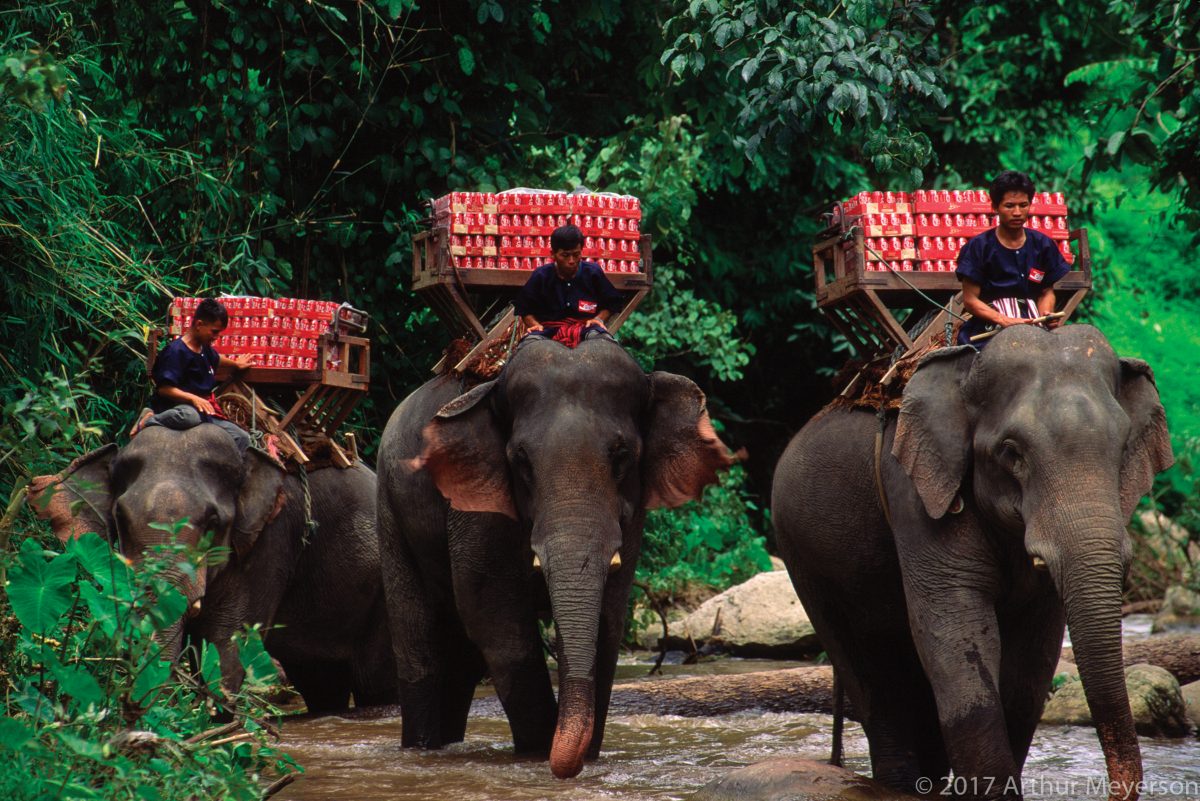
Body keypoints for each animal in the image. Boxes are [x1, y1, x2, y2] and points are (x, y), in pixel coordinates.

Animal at [28, 424, 396, 714]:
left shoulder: (271, 540)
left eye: (213, 522)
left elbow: (226, 641)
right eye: (121, 518)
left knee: (375, 681)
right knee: (321, 683)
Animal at [374, 335, 729, 777]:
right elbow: (495, 619)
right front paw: (538, 753)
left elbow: (609, 620)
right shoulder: (475, 506)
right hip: (389, 507)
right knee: (419, 644)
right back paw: (421, 750)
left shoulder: (631, 516)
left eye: (622, 455)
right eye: (521, 460)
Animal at [768, 326, 1171, 801]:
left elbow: (1031, 663)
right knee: (872, 677)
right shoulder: (914, 490)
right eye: (1012, 452)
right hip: (802, 557)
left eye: (1123, 447)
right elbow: (954, 630)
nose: (1109, 789)